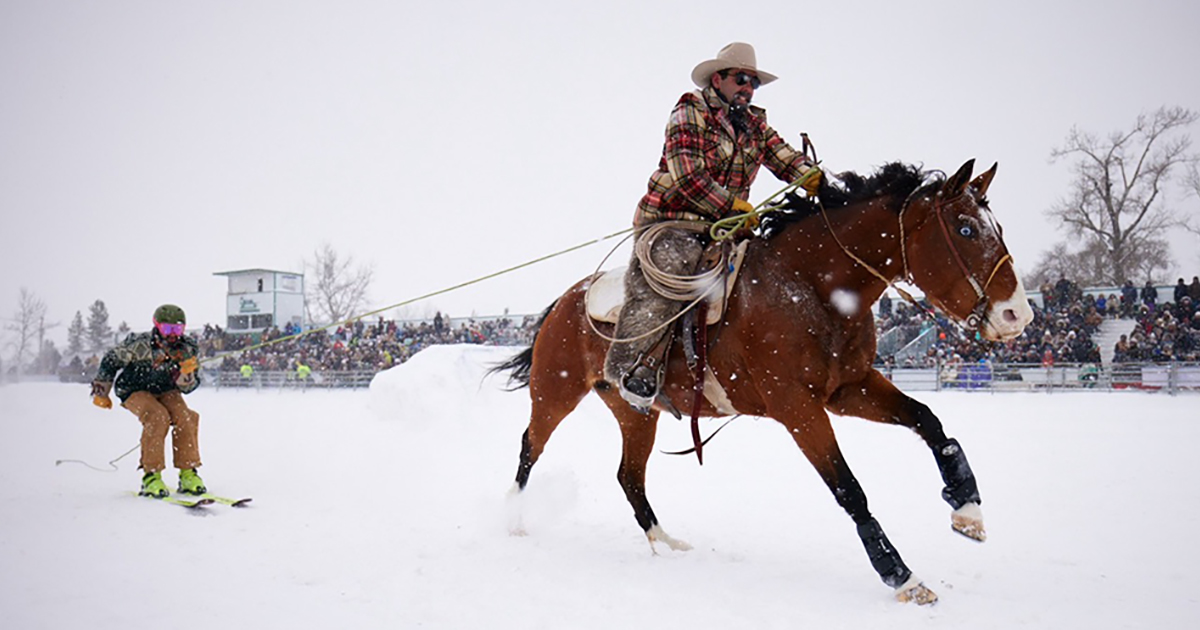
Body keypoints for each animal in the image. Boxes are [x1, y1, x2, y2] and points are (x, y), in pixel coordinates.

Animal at [487, 159, 1032, 602]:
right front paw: (901, 575)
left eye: (998, 226)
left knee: (629, 476)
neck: (810, 285)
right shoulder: (797, 407)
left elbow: (929, 421)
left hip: (635, 410)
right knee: (530, 447)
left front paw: (968, 510)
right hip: (555, 391)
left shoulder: (848, 389)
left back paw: (667, 544)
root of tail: (564, 301)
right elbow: (848, 488)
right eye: (965, 228)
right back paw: (512, 520)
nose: (1018, 315)